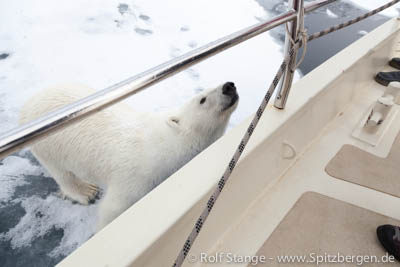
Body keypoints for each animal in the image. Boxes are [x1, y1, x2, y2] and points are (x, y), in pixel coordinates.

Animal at [19, 82, 238, 231]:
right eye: (202, 99)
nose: (229, 86)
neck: (162, 145)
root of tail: (27, 103)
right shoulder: (136, 177)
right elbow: (113, 209)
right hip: (48, 145)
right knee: (61, 172)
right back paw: (86, 191)